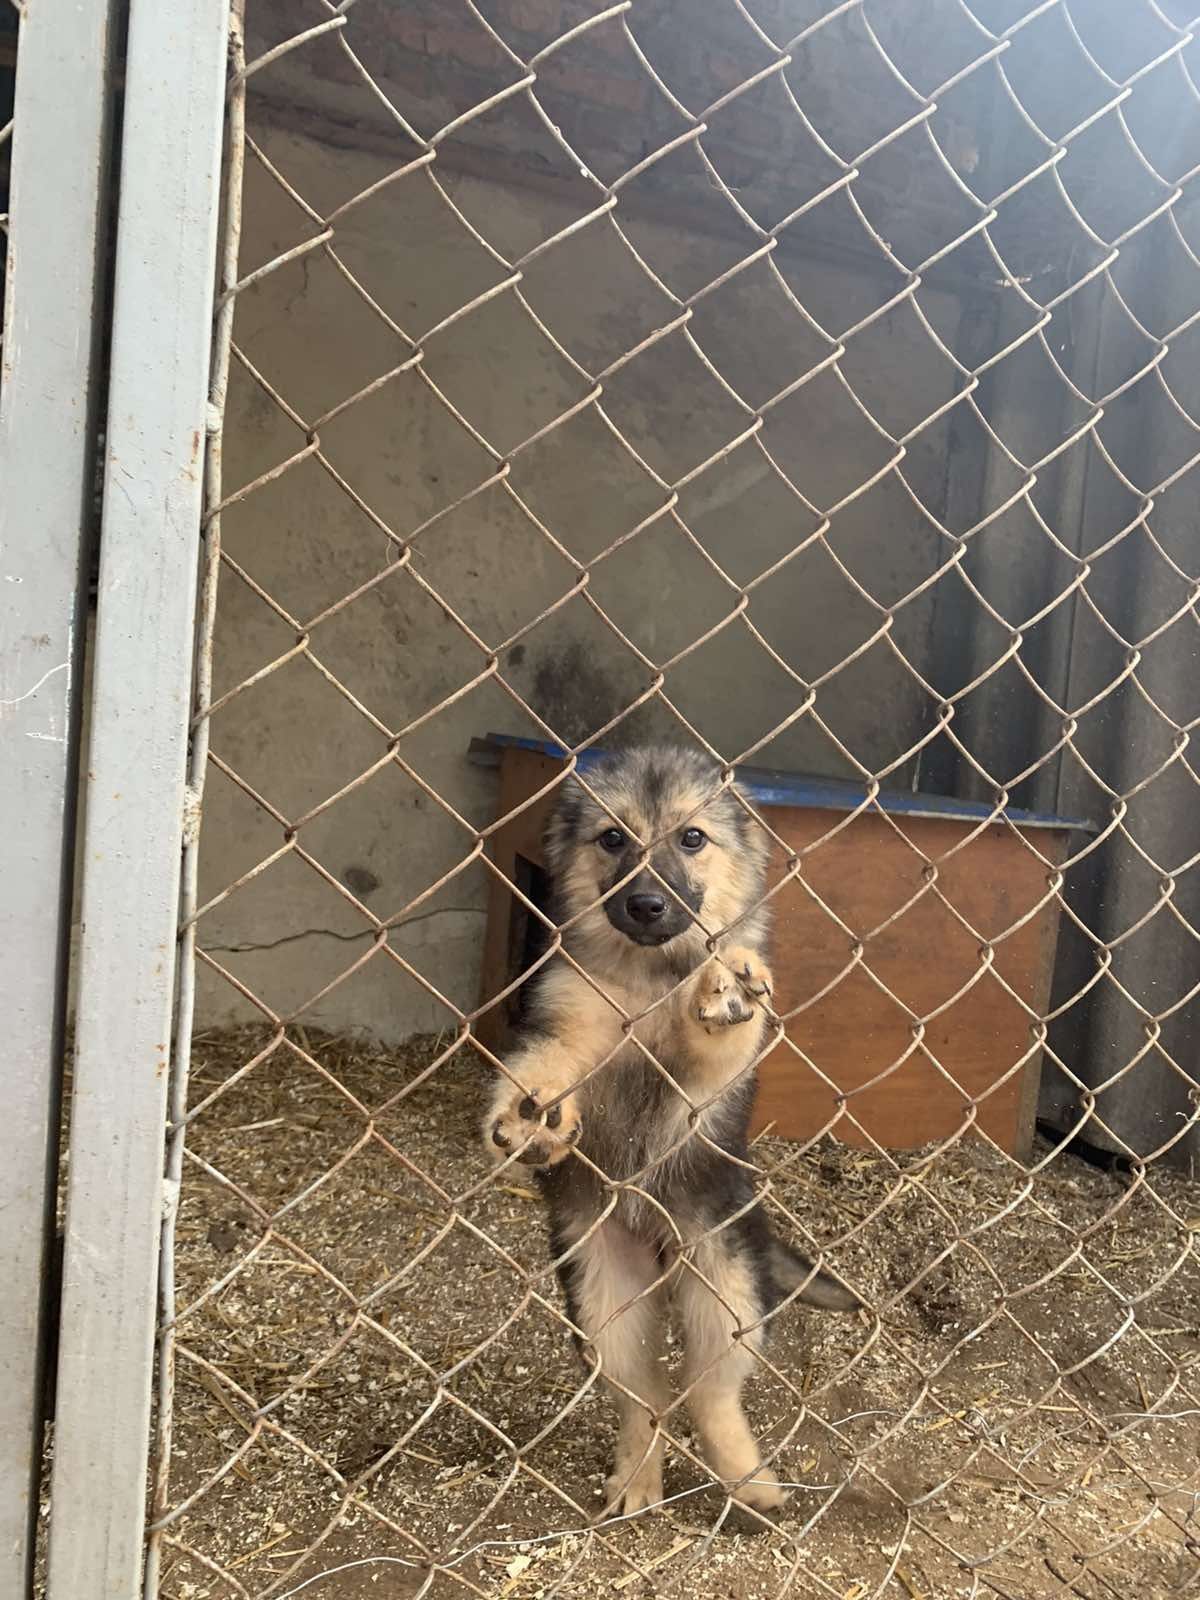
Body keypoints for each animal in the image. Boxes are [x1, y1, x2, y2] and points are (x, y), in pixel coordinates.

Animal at [480, 742, 857, 1516]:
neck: (652, 980)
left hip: (727, 1287)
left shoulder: (703, 1086)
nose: (647, 905)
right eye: (612, 840)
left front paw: (726, 989)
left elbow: (717, 1044)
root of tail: (656, 1246)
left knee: (709, 1390)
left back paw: (749, 1482)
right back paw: (637, 1480)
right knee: (645, 1398)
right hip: (604, 1300)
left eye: (691, 839)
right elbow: (546, 1060)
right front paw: (531, 1113)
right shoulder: (568, 1021)